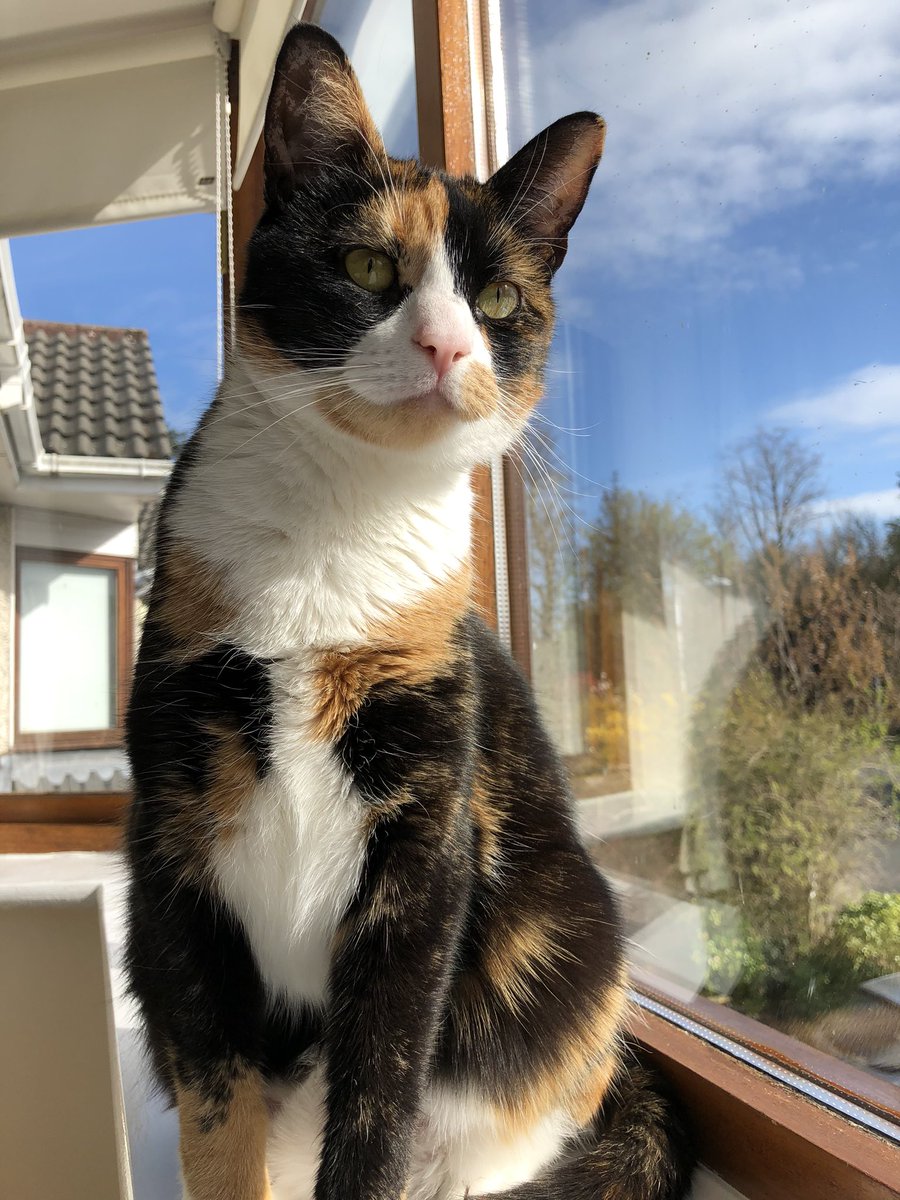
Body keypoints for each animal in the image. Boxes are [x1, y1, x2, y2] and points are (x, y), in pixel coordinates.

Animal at [123, 18, 696, 1200]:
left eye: (499, 302)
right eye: (366, 266)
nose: (446, 345)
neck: (335, 542)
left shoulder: (426, 846)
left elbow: (380, 1094)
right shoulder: (169, 851)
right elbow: (215, 1107)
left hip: (566, 960)